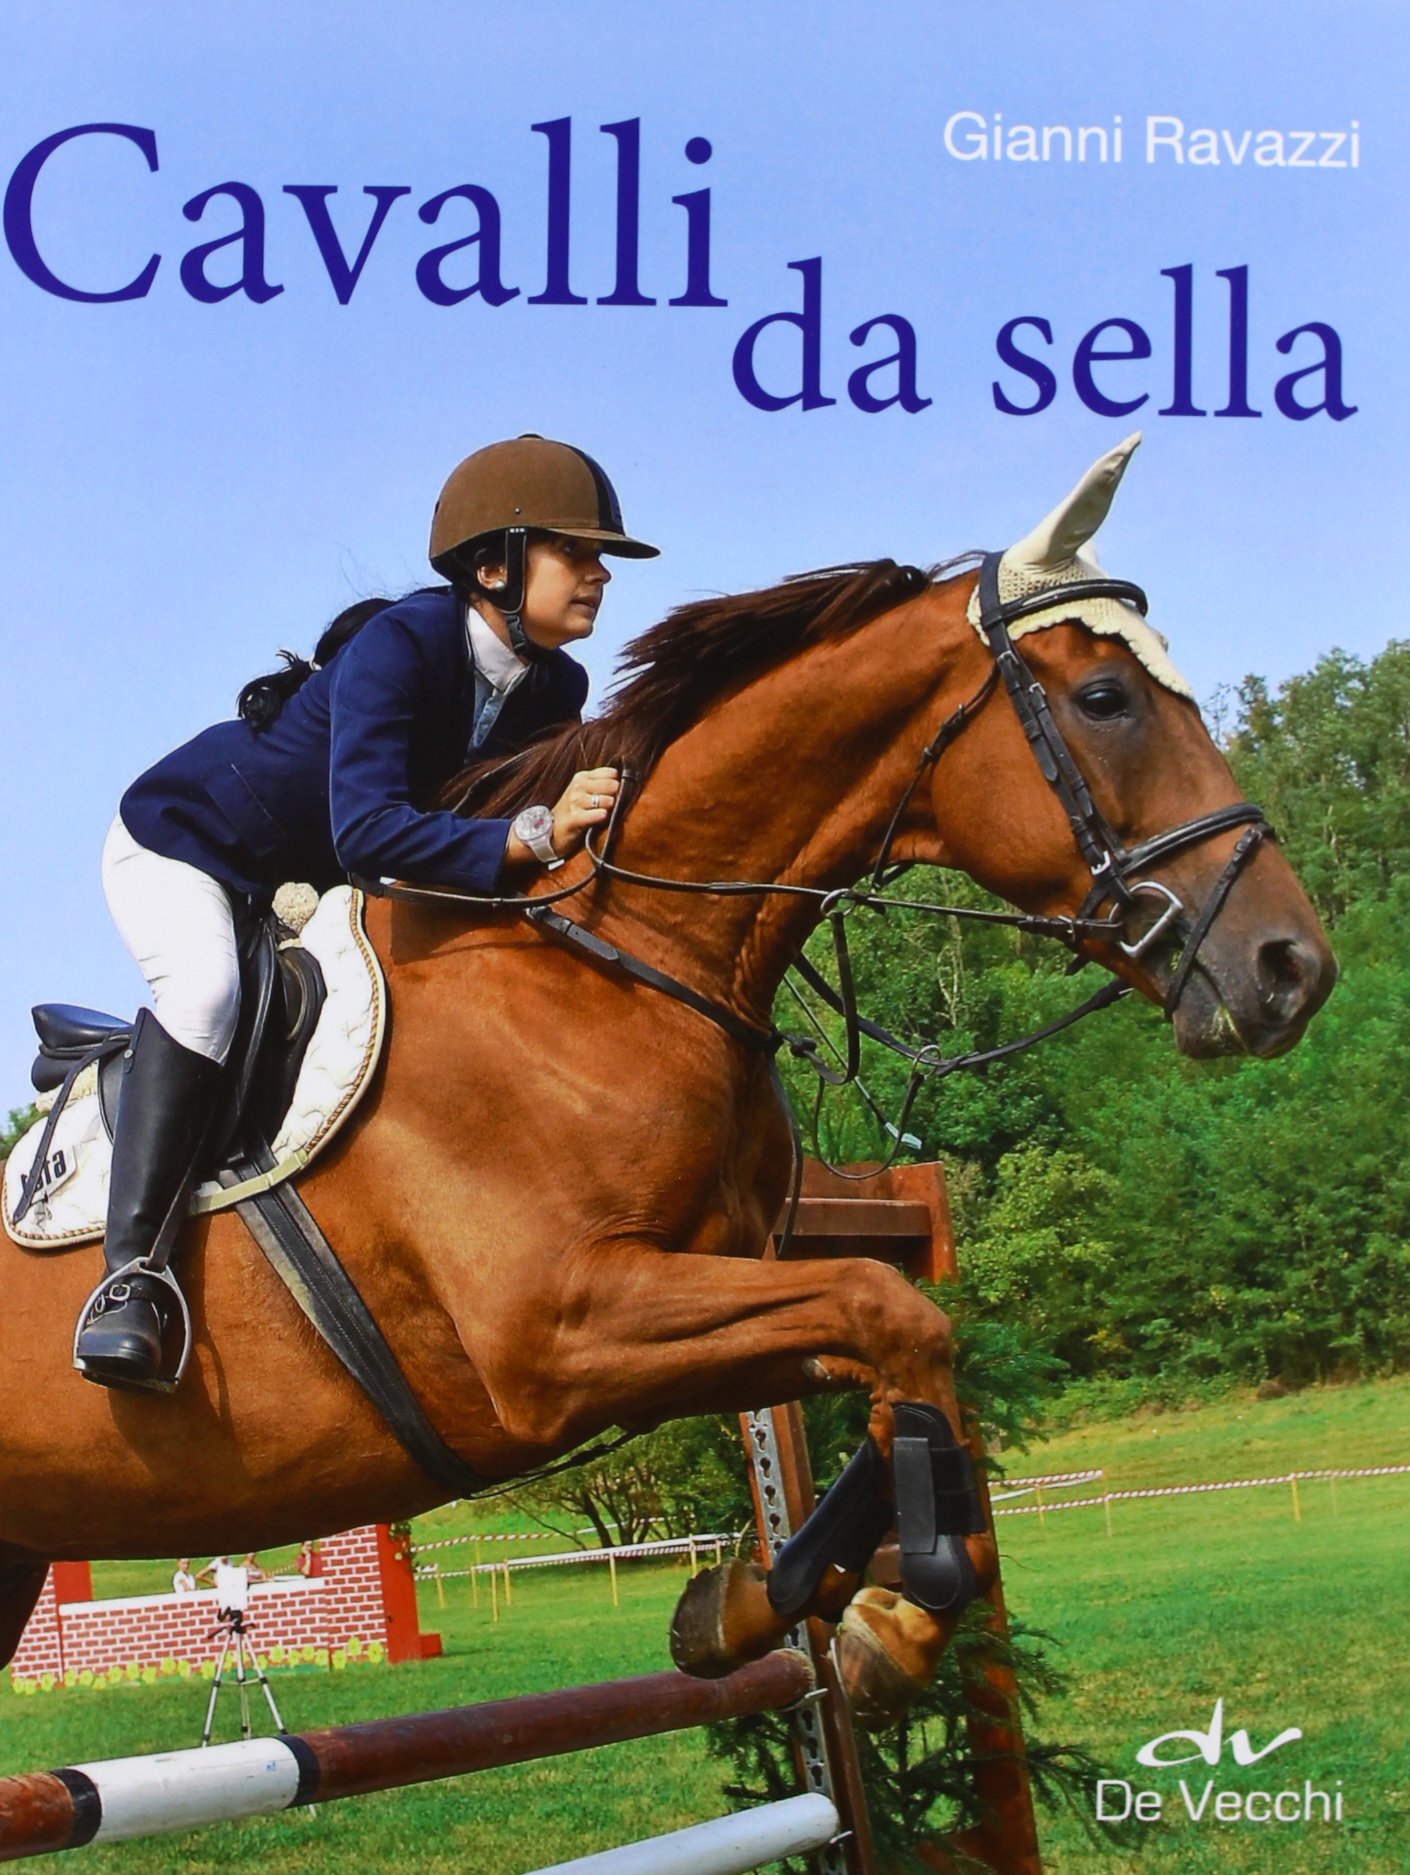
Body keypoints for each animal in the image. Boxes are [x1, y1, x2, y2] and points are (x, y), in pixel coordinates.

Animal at [0, 438, 1334, 1726]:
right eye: (1105, 699)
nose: (1293, 970)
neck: (628, 964)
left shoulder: (706, 1295)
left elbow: (900, 1348)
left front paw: (767, 1610)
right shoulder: (564, 1332)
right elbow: (887, 1311)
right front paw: (891, 1616)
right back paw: (127, 1317)